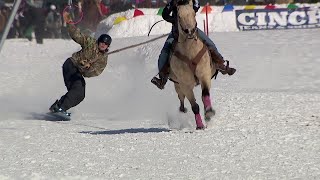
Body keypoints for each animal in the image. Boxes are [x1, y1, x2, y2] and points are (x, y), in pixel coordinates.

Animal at [169, 0, 216, 130]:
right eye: (179, 16)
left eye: (194, 14)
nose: (189, 31)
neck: (190, 53)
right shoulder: (185, 84)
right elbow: (194, 106)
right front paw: (200, 125)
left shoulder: (204, 75)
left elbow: (205, 95)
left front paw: (209, 113)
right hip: (177, 86)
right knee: (181, 99)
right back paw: (182, 109)